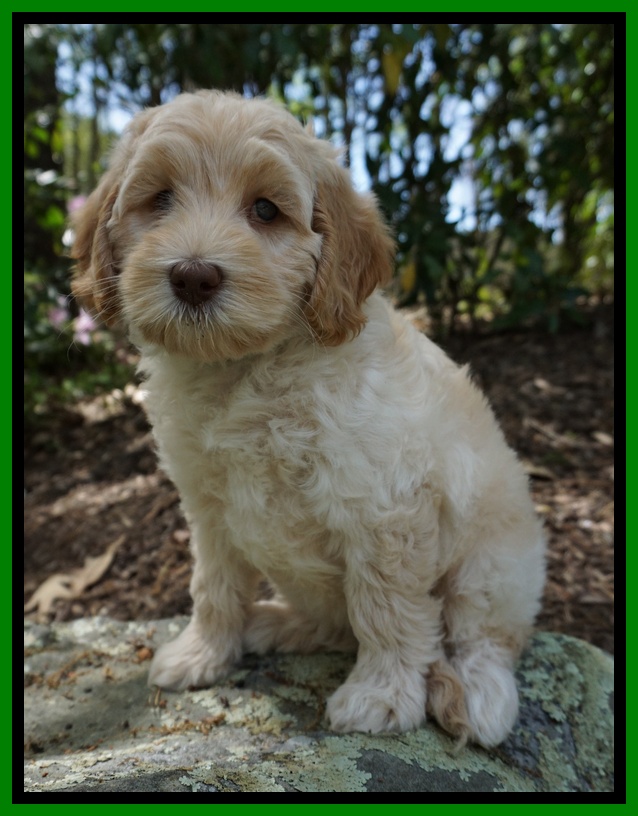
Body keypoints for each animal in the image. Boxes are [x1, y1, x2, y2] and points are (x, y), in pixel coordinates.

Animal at [71, 90, 545, 747]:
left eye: (266, 210)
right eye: (160, 199)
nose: (193, 276)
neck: (245, 370)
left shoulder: (383, 504)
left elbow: (387, 606)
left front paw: (382, 696)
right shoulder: (209, 507)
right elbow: (213, 584)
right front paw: (202, 653)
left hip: (495, 560)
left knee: (482, 635)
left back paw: (474, 693)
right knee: (336, 623)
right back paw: (278, 625)